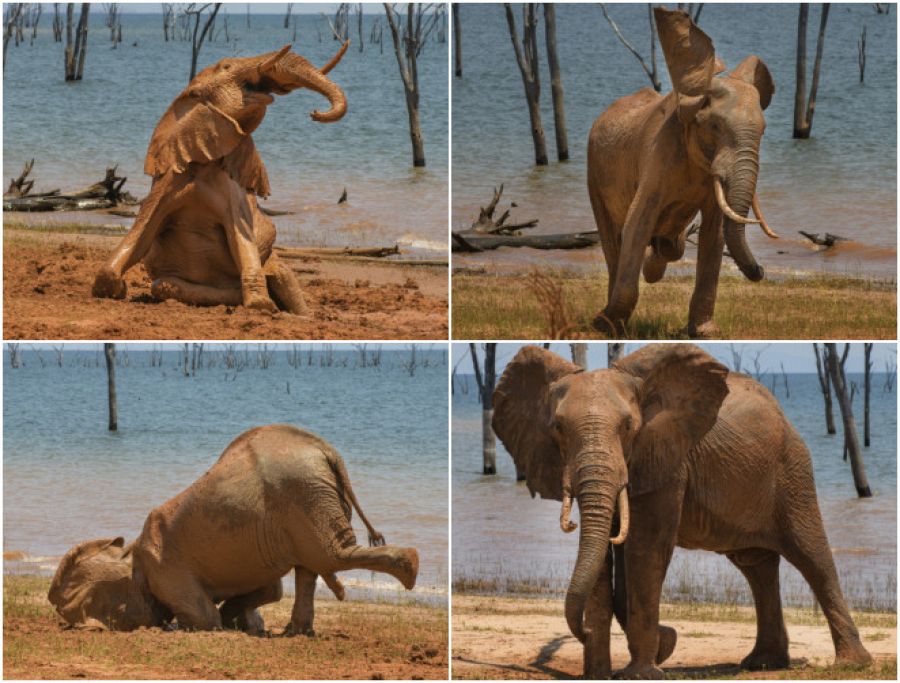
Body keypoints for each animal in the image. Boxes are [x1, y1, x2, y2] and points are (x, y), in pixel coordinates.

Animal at [48, 424, 419, 634]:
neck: (131, 554)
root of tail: (328, 452)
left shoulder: (165, 571)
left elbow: (205, 619)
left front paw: (188, 626)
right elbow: (270, 590)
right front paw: (242, 624)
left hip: (304, 492)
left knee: (329, 557)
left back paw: (411, 568)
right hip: (308, 499)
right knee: (310, 566)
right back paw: (295, 632)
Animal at [91, 43, 349, 314]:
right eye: (227, 66)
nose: (314, 113)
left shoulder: (232, 191)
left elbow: (241, 237)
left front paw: (260, 304)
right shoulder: (164, 185)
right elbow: (140, 233)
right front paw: (117, 290)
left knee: (282, 276)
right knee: (163, 285)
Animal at [492, 344, 873, 679]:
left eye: (628, 427)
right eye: (557, 428)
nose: (582, 632)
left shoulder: (667, 457)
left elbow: (645, 548)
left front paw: (642, 673)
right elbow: (605, 557)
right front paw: (602, 672)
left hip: (792, 470)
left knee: (811, 555)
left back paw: (852, 664)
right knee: (756, 565)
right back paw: (764, 663)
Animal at [588, 8, 780, 338]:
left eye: (764, 132)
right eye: (714, 126)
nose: (761, 271)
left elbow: (715, 232)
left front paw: (705, 332)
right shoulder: (659, 154)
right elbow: (637, 222)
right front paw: (607, 326)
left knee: (670, 245)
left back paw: (656, 260)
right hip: (593, 173)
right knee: (613, 239)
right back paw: (608, 321)